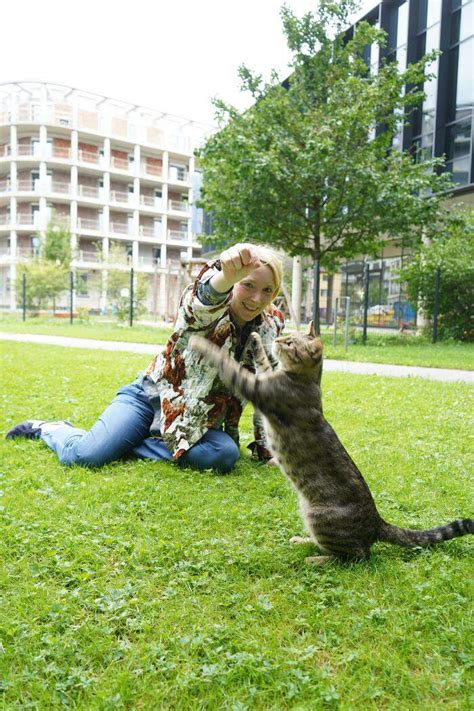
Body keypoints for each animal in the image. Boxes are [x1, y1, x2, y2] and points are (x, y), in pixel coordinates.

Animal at [191, 326, 472, 564]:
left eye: (290, 343)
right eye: (287, 334)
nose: (279, 340)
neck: (305, 380)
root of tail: (377, 522)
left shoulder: (260, 389)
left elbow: (229, 365)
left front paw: (202, 344)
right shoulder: (265, 376)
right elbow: (262, 362)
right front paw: (256, 339)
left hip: (318, 518)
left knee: (356, 556)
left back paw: (315, 559)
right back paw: (302, 541)